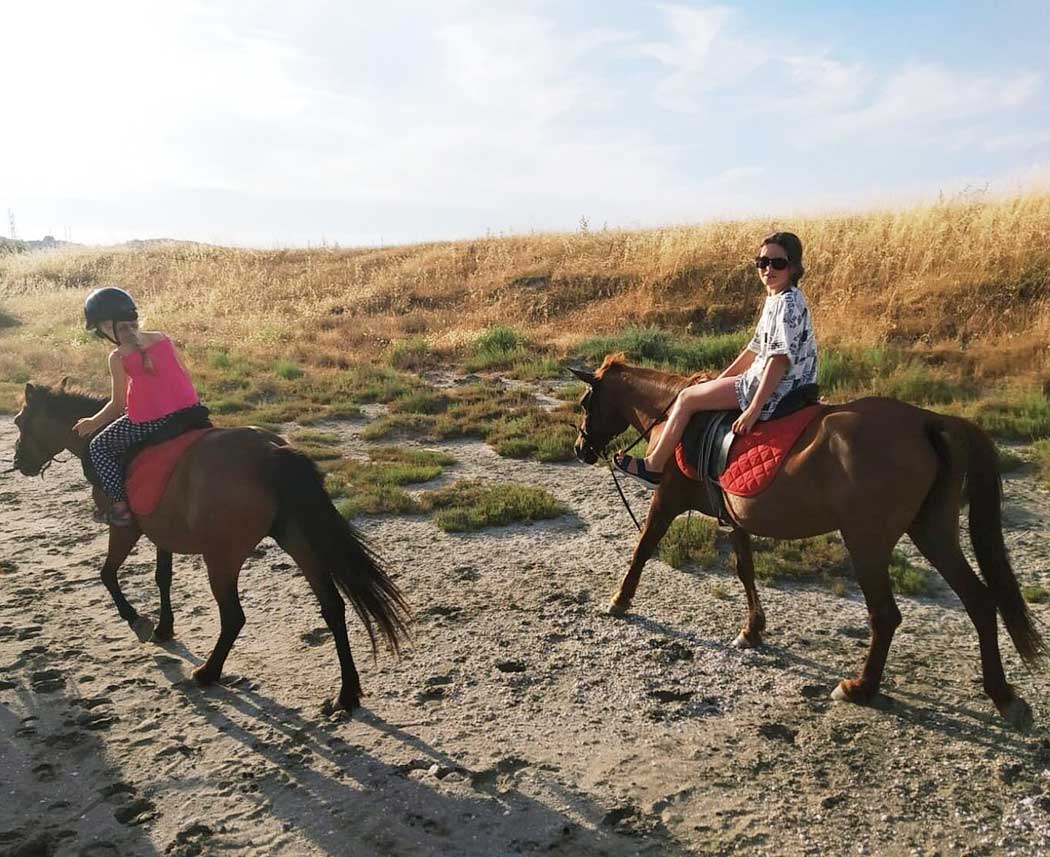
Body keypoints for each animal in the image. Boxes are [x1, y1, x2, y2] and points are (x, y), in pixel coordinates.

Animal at [9, 381, 409, 712]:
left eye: (19, 422)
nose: (18, 462)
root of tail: (272, 452)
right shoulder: (162, 532)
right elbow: (162, 578)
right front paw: (164, 627)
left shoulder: (126, 529)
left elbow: (107, 574)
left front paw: (137, 619)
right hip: (298, 541)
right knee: (333, 608)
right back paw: (347, 693)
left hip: (221, 558)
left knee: (234, 617)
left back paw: (209, 672)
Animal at [570, 354, 1044, 729]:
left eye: (586, 402)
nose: (580, 448)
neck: (675, 415)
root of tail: (929, 420)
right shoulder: (735, 515)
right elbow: (745, 569)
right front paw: (752, 630)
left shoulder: (667, 499)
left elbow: (643, 547)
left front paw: (619, 600)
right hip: (932, 530)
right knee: (980, 600)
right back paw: (1003, 696)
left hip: (867, 543)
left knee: (886, 616)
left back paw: (861, 687)